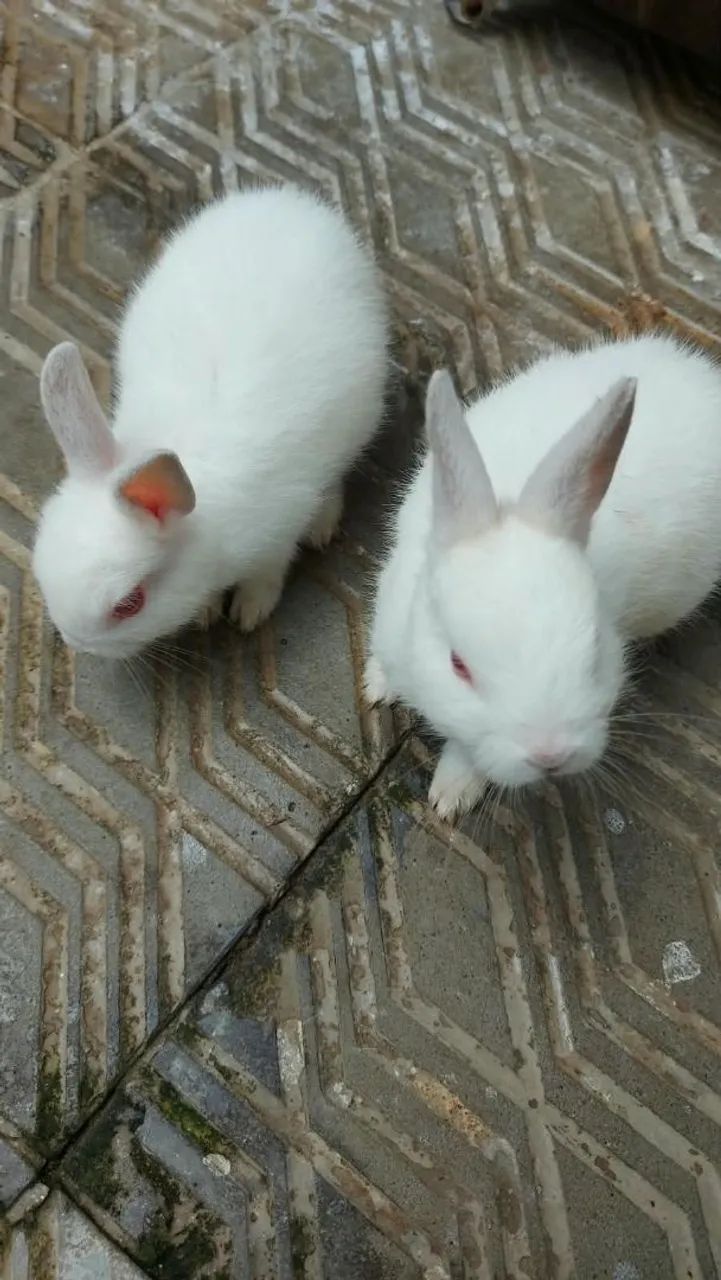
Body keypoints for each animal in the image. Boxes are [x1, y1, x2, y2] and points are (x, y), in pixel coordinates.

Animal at [33, 185, 388, 660]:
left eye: (130, 604)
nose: (77, 644)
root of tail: (289, 199)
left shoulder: (277, 533)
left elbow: (268, 571)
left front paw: (249, 611)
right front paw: (205, 611)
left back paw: (322, 525)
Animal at [365, 334, 721, 820]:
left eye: (596, 654)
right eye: (458, 665)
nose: (550, 755)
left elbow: (467, 750)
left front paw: (450, 796)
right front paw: (377, 685)